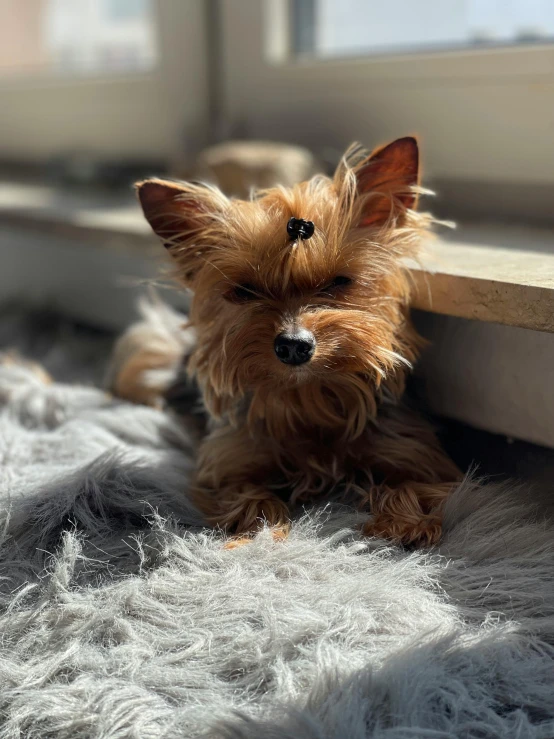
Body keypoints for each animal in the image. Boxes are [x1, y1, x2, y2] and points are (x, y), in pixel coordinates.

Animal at [118, 137, 460, 548]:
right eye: (246, 290)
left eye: (338, 282)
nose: (294, 345)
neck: (309, 398)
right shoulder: (227, 465)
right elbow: (249, 495)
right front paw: (259, 529)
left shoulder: (413, 452)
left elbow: (411, 483)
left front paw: (405, 522)